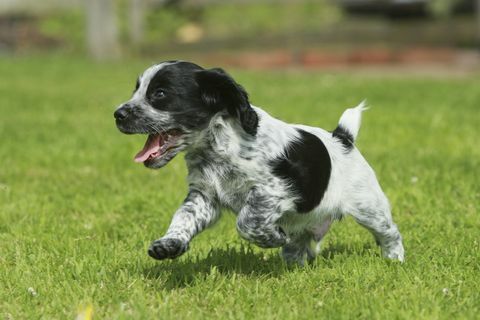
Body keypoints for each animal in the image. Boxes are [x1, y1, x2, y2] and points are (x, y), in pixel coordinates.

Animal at [114, 60, 404, 264]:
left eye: (160, 94)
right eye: (137, 90)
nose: (117, 114)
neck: (218, 147)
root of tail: (342, 138)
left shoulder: (273, 189)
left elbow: (247, 221)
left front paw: (273, 236)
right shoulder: (204, 196)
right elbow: (183, 218)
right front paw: (169, 244)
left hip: (368, 206)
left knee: (389, 232)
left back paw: (395, 259)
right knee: (299, 244)